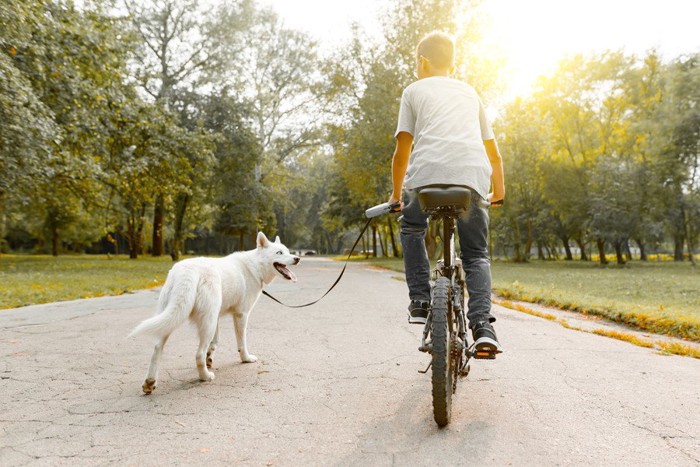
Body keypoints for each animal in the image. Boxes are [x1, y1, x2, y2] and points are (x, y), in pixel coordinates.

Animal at [130, 232, 300, 394]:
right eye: (279, 252)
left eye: (287, 251)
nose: (297, 258)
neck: (255, 267)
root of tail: (186, 272)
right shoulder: (241, 315)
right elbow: (242, 343)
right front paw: (246, 358)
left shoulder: (216, 317)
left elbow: (214, 343)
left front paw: (209, 359)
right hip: (205, 323)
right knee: (198, 354)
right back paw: (205, 377)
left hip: (176, 319)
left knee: (157, 348)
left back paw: (150, 382)